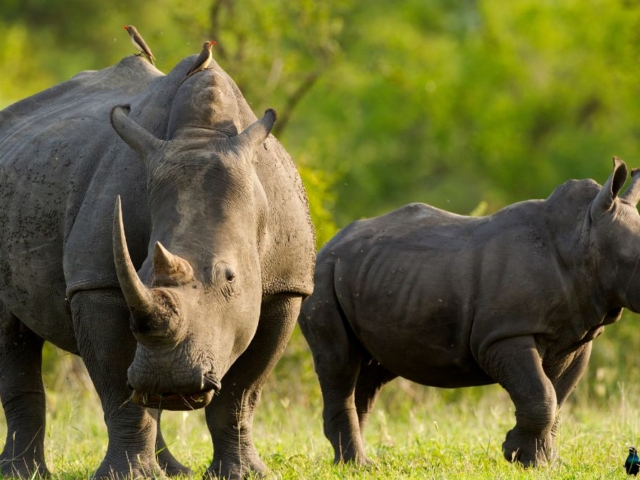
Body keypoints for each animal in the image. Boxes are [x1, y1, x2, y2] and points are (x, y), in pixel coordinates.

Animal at [0, 54, 314, 479]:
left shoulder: (286, 286)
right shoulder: (97, 282)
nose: (172, 380)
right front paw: (127, 475)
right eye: (142, 271)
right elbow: (119, 387)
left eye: (230, 276)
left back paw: (173, 467)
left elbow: (242, 393)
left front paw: (244, 474)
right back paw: (23, 473)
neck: (202, 135)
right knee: (13, 335)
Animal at [299, 157, 640, 467]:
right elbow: (541, 394)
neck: (583, 236)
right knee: (339, 363)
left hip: (373, 275)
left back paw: (358, 463)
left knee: (370, 371)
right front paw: (520, 457)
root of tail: (328, 243)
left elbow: (556, 398)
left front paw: (541, 461)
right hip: (323, 277)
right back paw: (356, 465)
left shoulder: (575, 334)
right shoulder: (503, 334)